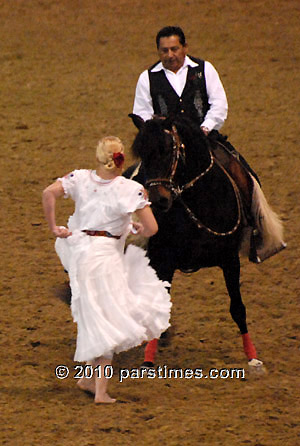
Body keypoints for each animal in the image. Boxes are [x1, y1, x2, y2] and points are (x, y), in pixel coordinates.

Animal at [126, 114, 274, 366]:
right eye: (143, 155)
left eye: (169, 150)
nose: (158, 200)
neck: (201, 203)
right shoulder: (164, 261)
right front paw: (148, 360)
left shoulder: (230, 260)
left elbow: (238, 308)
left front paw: (253, 357)